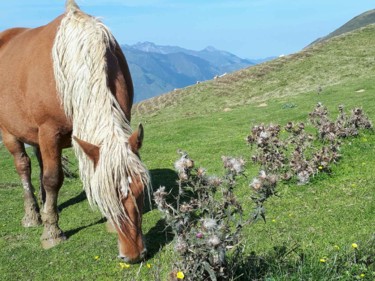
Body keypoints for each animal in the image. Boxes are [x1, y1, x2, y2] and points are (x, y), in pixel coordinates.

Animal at [0, 0, 150, 262]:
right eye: (102, 197)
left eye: (140, 192)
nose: (133, 255)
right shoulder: (48, 132)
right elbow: (53, 178)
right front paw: (51, 231)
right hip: (9, 132)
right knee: (24, 166)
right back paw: (33, 215)